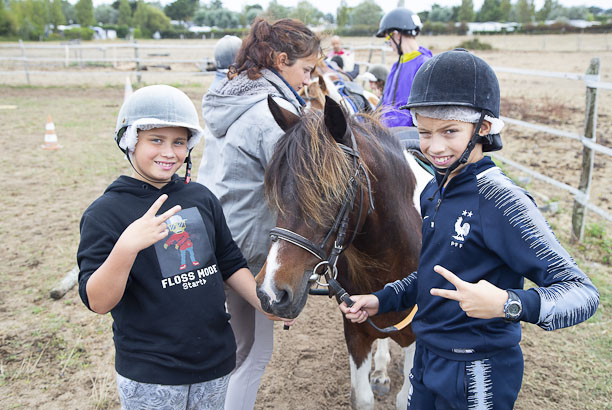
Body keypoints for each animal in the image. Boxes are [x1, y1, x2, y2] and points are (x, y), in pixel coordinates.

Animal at [253, 97, 430, 410]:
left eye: (330, 192)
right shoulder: (355, 332)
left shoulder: (418, 343)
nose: (271, 293)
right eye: (277, 188)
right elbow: (362, 398)